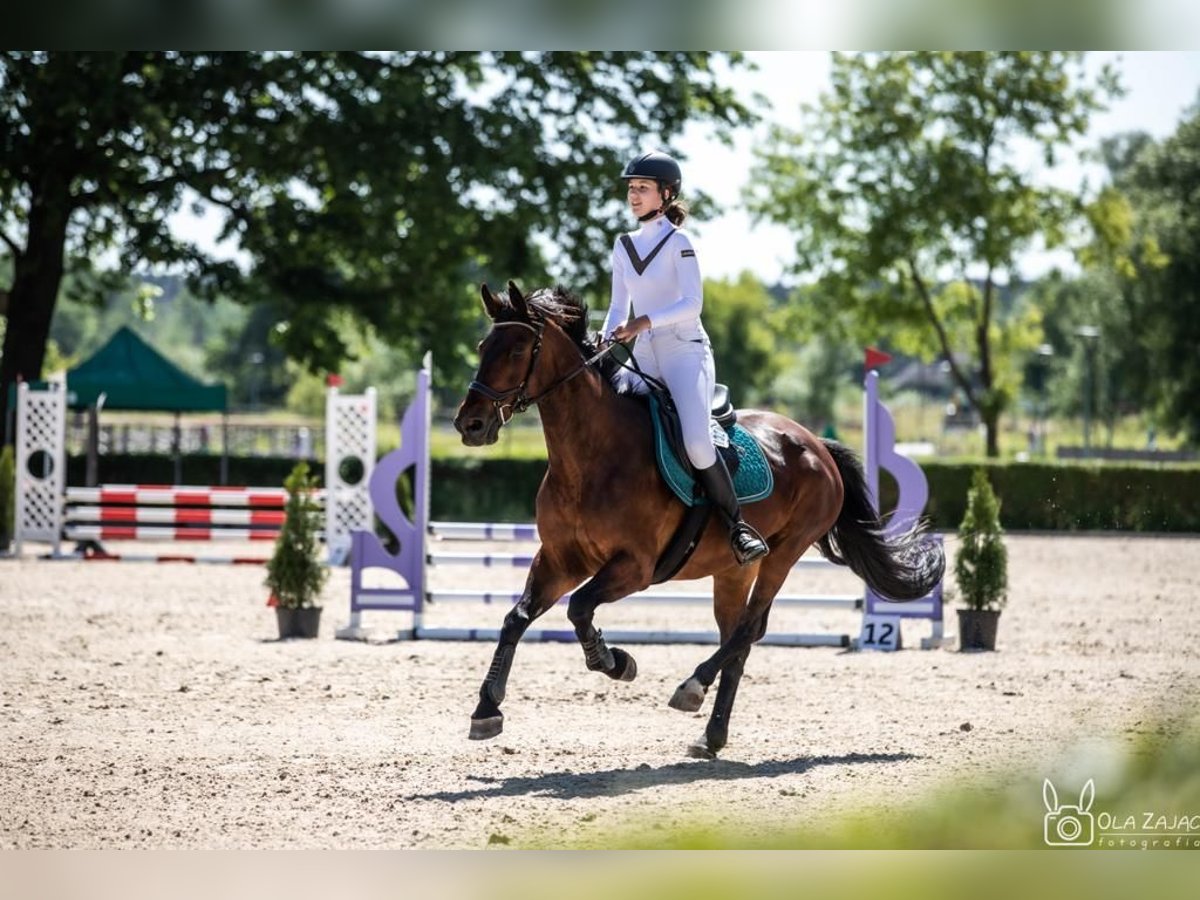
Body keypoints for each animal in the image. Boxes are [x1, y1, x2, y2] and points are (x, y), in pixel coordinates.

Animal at [453, 283, 940, 763]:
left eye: (518, 349)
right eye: (482, 347)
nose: (470, 424)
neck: (592, 457)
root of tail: (815, 442)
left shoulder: (635, 566)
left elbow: (579, 608)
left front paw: (616, 663)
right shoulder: (560, 559)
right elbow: (516, 617)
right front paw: (486, 709)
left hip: (784, 553)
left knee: (748, 628)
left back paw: (692, 687)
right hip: (733, 569)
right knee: (739, 637)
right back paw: (712, 736)